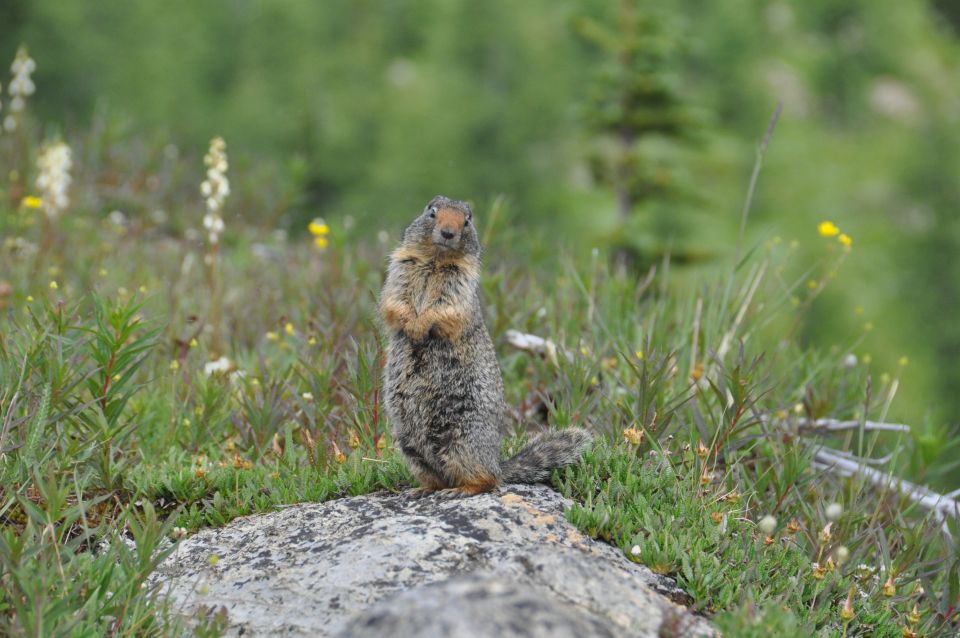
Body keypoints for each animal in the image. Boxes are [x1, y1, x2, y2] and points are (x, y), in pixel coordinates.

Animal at [376, 196, 588, 500]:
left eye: (468, 220)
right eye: (431, 212)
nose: (448, 233)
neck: (436, 260)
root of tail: (497, 464)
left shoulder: (460, 286)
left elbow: (446, 309)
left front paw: (421, 324)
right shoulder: (400, 269)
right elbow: (394, 301)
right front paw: (410, 323)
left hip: (464, 440)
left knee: (487, 480)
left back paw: (462, 489)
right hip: (410, 445)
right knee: (437, 477)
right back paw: (421, 489)